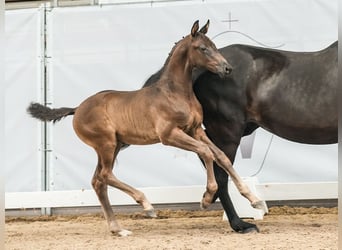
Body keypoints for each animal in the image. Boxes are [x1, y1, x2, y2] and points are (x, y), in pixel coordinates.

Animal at [28, 21, 264, 236]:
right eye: (202, 48)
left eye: (214, 45)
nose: (227, 68)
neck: (176, 93)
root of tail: (77, 109)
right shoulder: (169, 135)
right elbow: (206, 152)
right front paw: (206, 199)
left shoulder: (195, 130)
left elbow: (221, 157)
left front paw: (255, 200)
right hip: (106, 144)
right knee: (105, 175)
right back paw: (147, 206)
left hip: (114, 146)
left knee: (98, 181)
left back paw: (118, 229)